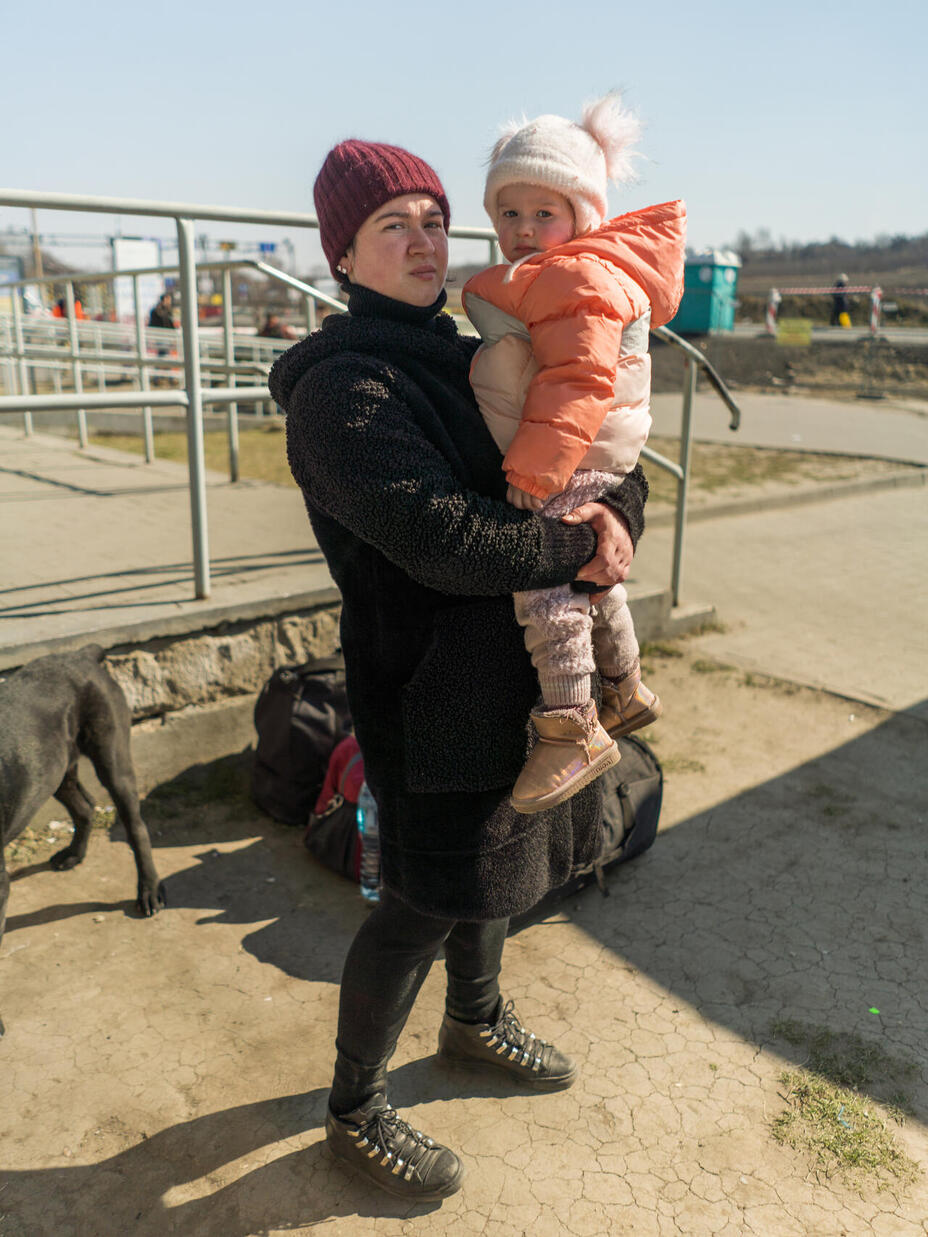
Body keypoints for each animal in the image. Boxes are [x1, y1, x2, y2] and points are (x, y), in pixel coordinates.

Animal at [0, 643, 165, 940]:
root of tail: (80, 655)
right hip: (53, 772)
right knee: (84, 807)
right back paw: (75, 854)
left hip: (113, 762)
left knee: (136, 827)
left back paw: (149, 889)